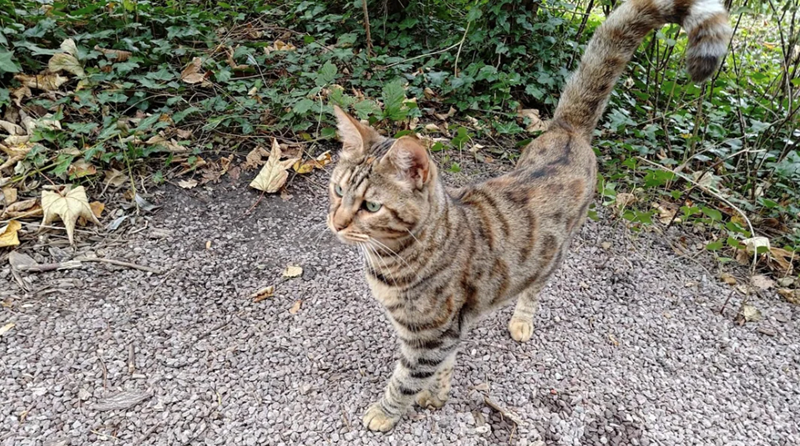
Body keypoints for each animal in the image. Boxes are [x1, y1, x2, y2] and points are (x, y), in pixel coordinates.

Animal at [326, 0, 731, 432]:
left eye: (371, 206)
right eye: (338, 191)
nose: (336, 223)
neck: (396, 257)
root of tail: (568, 130)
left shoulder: (432, 336)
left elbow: (405, 379)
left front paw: (384, 412)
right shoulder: (446, 333)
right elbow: (444, 367)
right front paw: (435, 395)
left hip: (555, 250)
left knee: (535, 287)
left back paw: (522, 319)